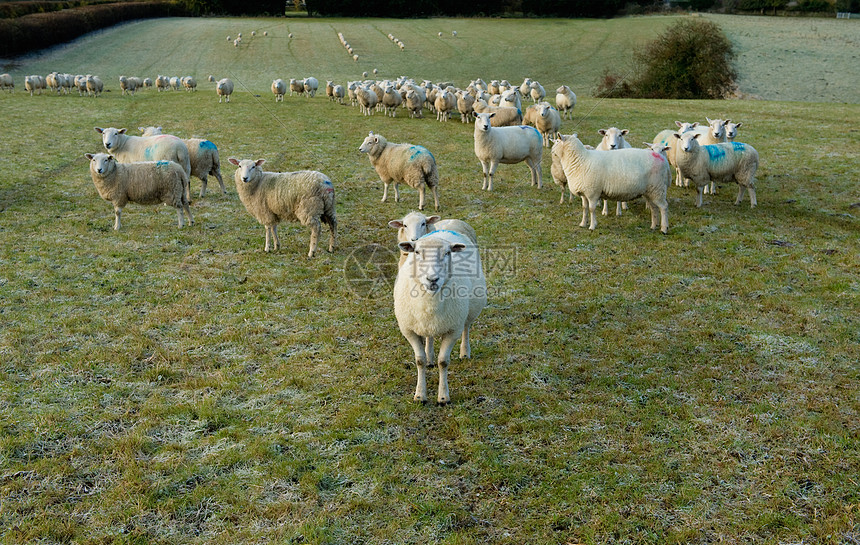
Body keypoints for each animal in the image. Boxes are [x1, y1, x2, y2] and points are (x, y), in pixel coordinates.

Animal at [394, 227, 488, 406]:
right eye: (417, 252)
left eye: (447, 253)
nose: (432, 279)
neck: (430, 301)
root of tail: (446, 228)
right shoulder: (409, 331)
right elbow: (419, 361)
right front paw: (420, 395)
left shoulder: (453, 330)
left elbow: (443, 362)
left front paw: (443, 397)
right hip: (427, 323)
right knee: (429, 337)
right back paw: (430, 357)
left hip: (468, 311)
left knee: (466, 328)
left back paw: (464, 352)